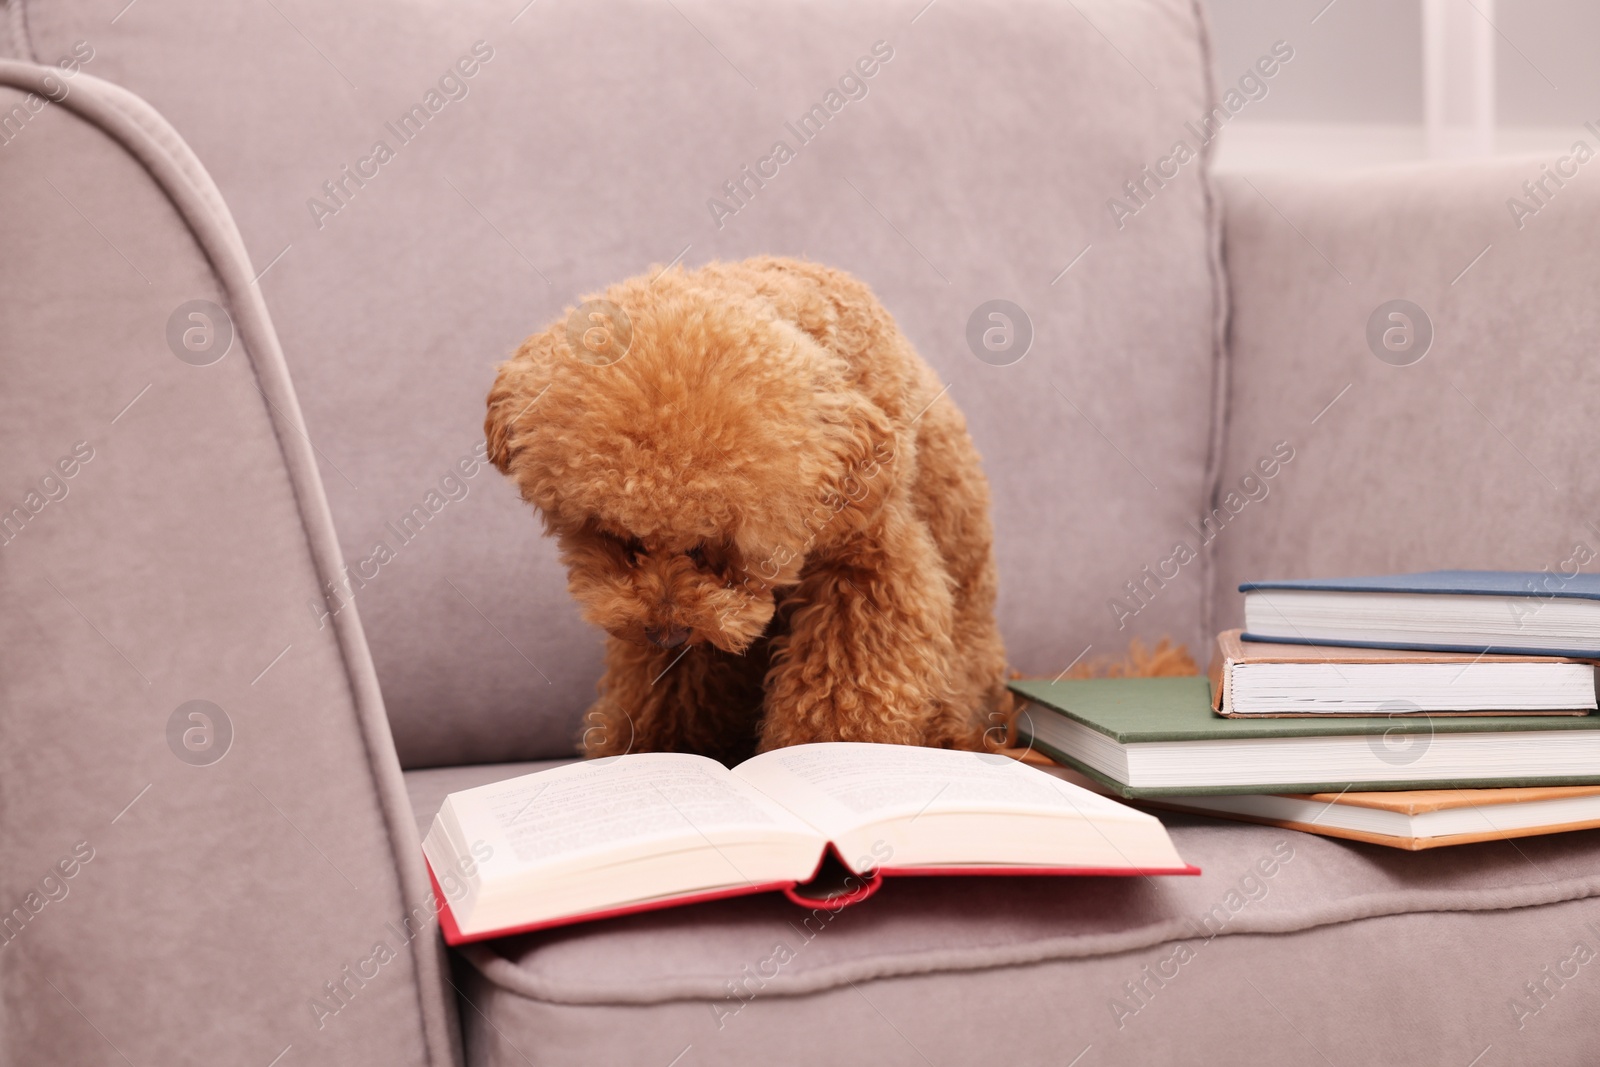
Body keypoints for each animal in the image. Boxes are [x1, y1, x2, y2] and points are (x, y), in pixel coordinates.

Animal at [486, 254, 1004, 764]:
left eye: (717, 548)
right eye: (622, 539)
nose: (667, 635)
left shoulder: (871, 562)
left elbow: (846, 682)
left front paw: (824, 748)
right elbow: (668, 689)